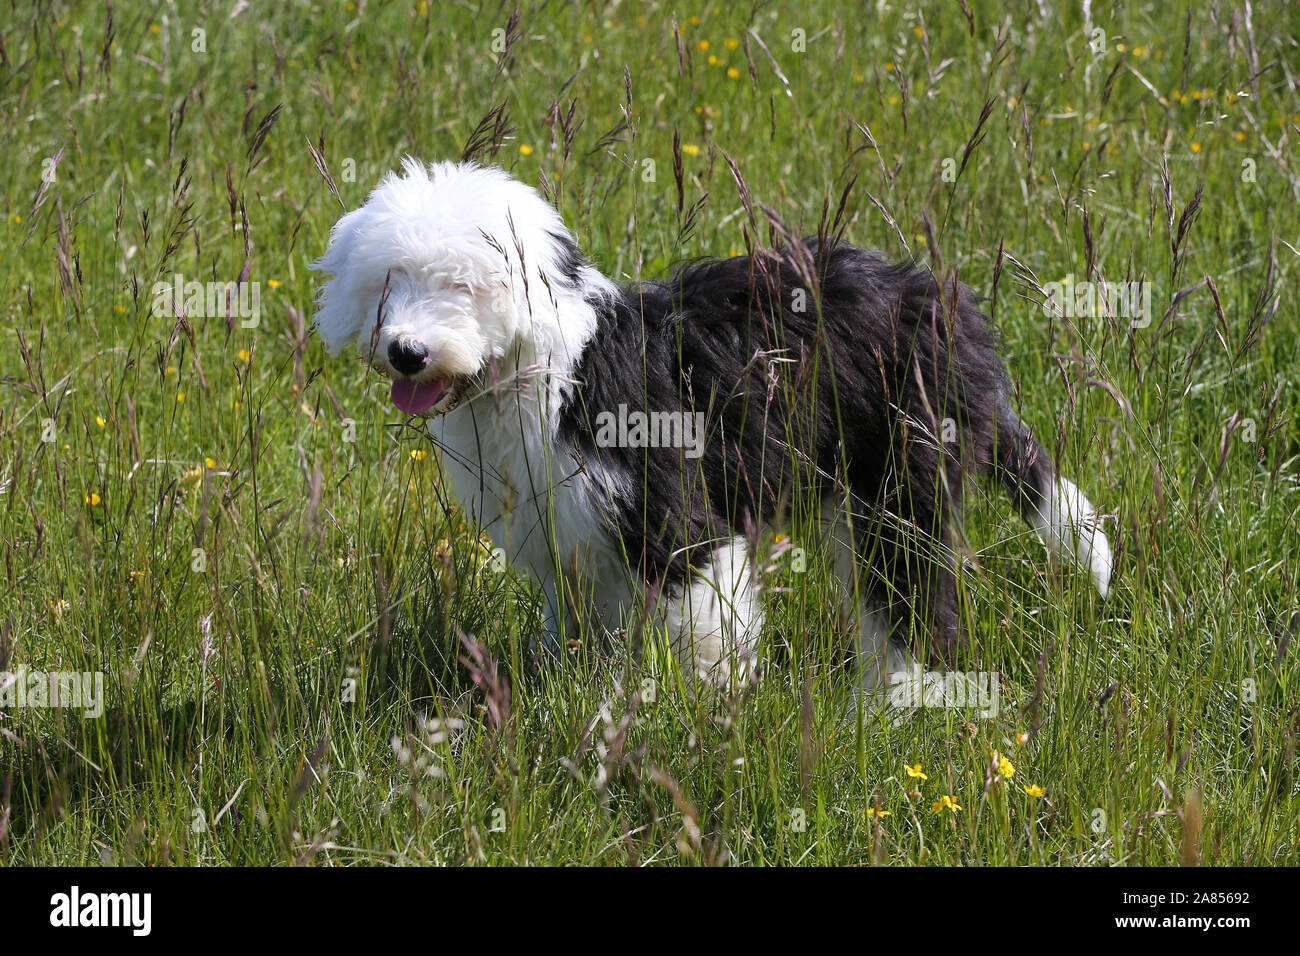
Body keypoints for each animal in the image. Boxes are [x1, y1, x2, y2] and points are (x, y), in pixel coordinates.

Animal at [309, 158, 1112, 697]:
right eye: (388, 282)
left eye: (465, 284)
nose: (407, 352)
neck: (549, 367)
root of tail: (943, 304)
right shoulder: (569, 537)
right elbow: (588, 628)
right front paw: (579, 693)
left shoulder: (668, 512)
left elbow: (704, 621)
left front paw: (704, 710)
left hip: (903, 476)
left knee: (913, 594)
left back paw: (907, 700)